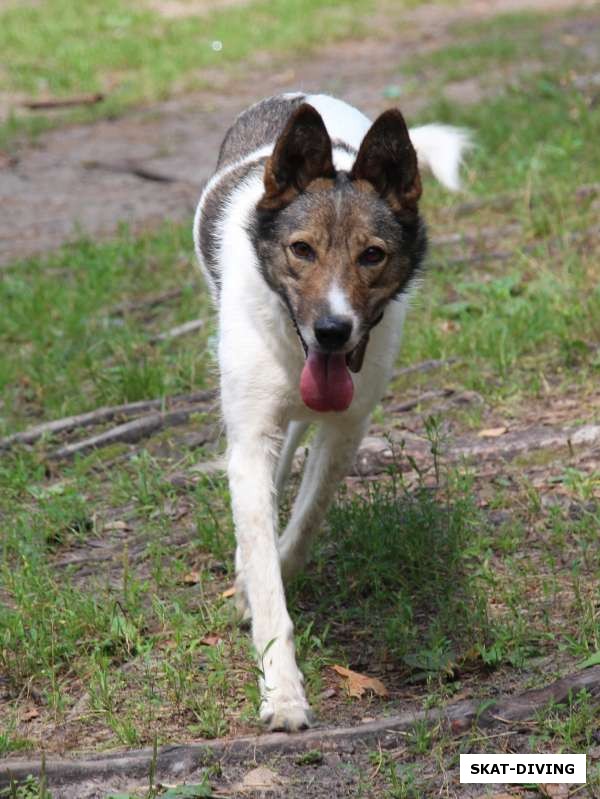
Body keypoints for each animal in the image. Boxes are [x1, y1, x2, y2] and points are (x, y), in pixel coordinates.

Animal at [192, 92, 468, 732]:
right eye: (302, 250)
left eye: (373, 255)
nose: (334, 331)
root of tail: (298, 98)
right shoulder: (251, 435)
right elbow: (266, 565)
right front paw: (282, 694)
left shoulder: (347, 426)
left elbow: (305, 523)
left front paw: (265, 575)